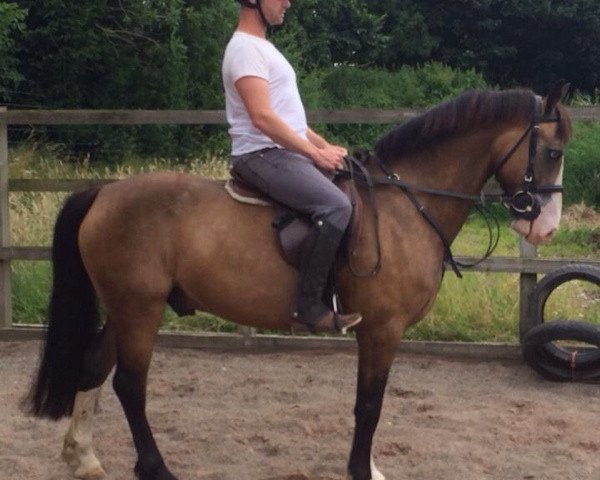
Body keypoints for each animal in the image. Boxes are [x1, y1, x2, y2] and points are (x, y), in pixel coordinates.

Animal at [25, 83, 576, 480]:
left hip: (125, 307)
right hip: (139, 308)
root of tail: (103, 193)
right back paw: (156, 469)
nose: (546, 229)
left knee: (94, 369)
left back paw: (84, 458)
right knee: (129, 384)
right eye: (551, 152)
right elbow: (369, 405)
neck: (405, 207)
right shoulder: (382, 329)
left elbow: (369, 405)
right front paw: (361, 471)